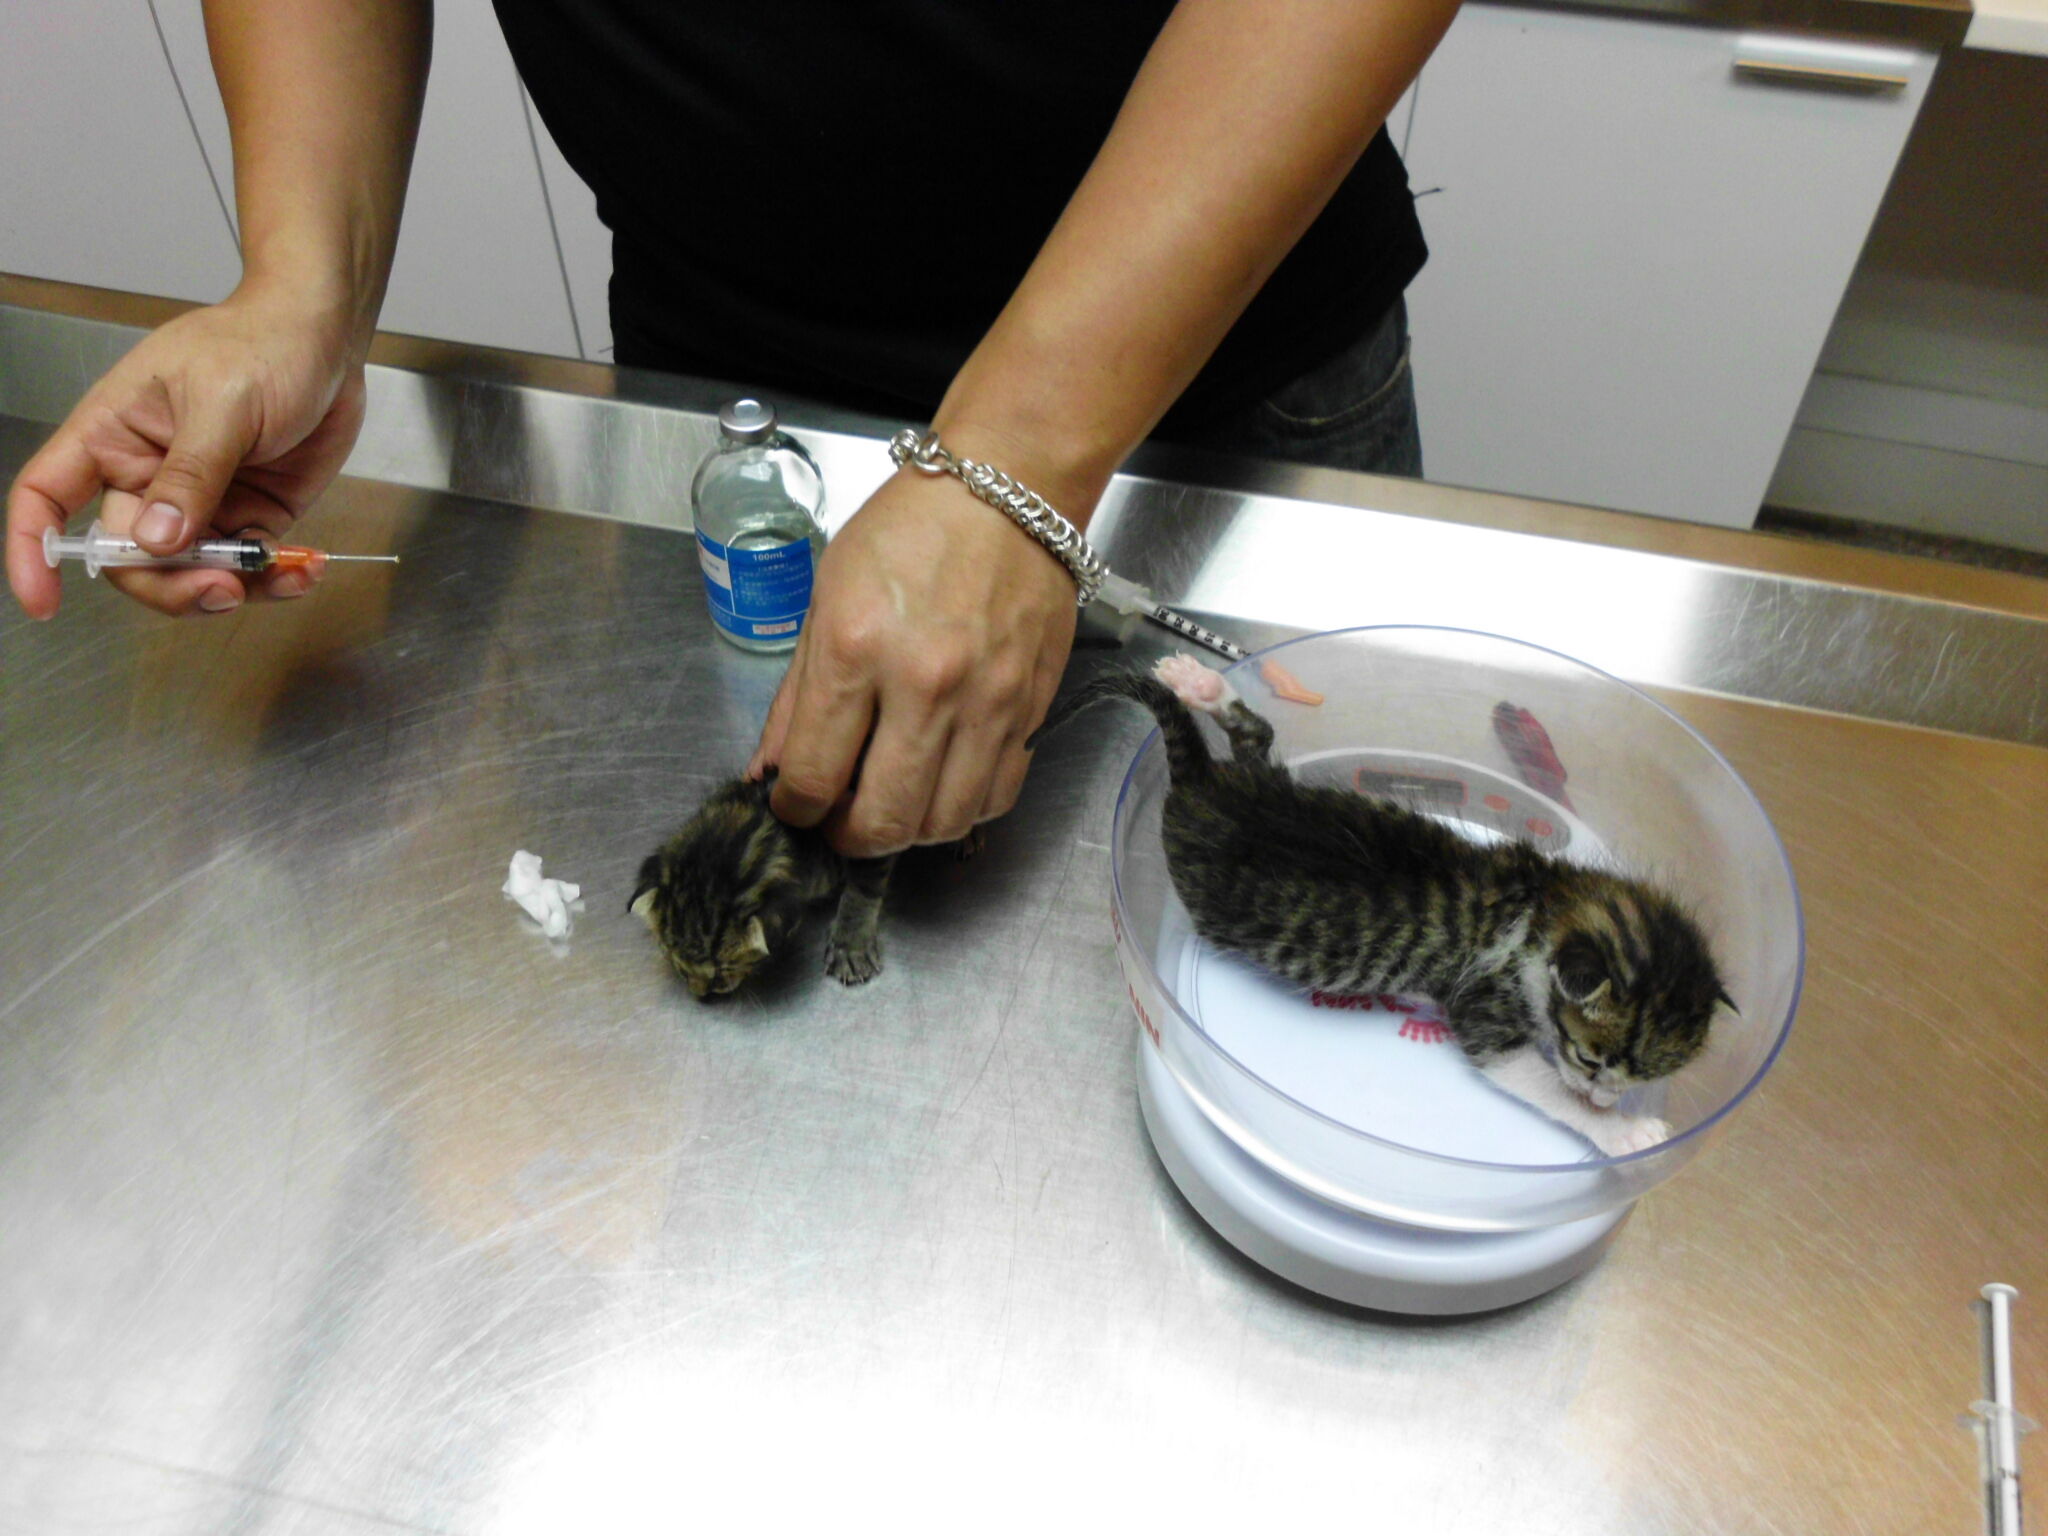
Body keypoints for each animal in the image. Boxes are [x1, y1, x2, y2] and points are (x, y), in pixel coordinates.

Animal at [630, 774, 894, 998]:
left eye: (724, 970)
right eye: (677, 964)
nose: (699, 995)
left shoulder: (865, 834)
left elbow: (863, 885)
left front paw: (850, 946)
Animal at [1035, 655, 1733, 1157]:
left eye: (1638, 1078)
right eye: (1590, 1060)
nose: (1608, 1096)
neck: (1547, 903)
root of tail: (1201, 790)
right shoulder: (1486, 1018)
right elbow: (1536, 1082)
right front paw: (1620, 1130)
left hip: (1269, 780)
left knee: (1255, 736)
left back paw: (1196, 681)